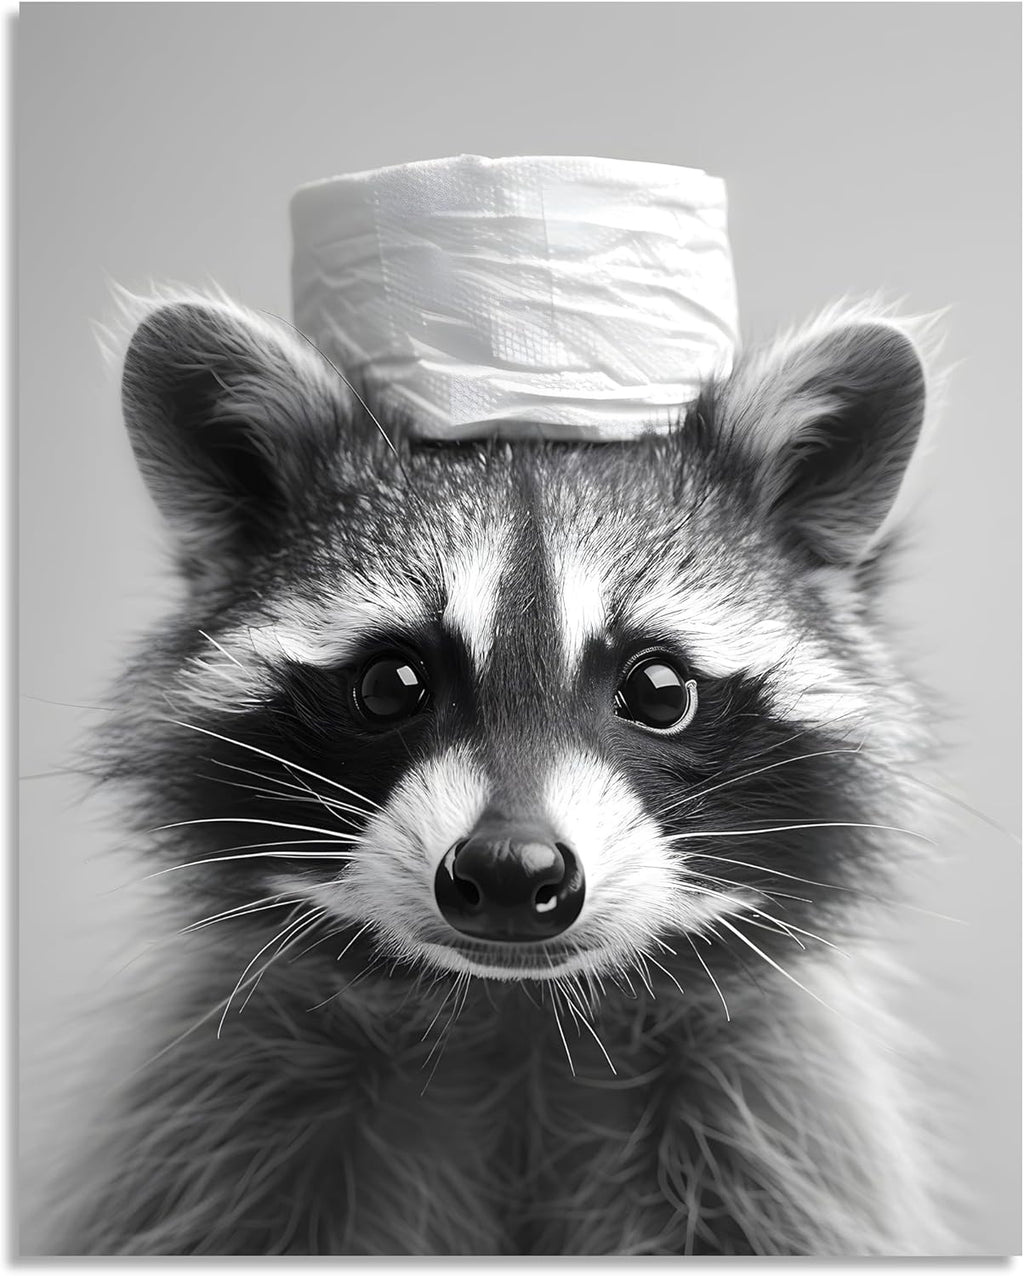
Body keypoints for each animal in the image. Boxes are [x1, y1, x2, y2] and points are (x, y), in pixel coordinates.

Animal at [52, 292, 950, 1255]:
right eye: (390, 684)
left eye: (658, 690)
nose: (513, 870)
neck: (516, 1015)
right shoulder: (225, 1115)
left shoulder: (774, 1124)